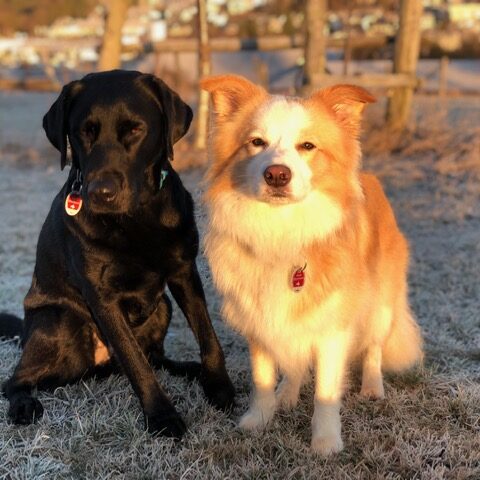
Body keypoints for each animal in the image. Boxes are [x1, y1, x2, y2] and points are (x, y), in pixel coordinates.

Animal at [0, 70, 234, 438]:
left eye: (135, 130)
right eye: (84, 131)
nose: (101, 192)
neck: (136, 218)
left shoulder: (184, 271)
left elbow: (207, 334)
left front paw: (218, 385)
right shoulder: (102, 297)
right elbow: (136, 363)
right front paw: (162, 416)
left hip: (162, 306)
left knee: (156, 358)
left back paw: (190, 369)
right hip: (59, 320)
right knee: (15, 381)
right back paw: (24, 404)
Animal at [201, 76, 422, 458]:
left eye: (307, 145)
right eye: (256, 142)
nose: (276, 174)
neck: (283, 233)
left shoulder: (333, 328)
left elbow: (325, 394)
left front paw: (326, 442)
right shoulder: (259, 319)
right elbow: (263, 378)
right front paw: (259, 420)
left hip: (380, 303)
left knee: (374, 347)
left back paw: (373, 387)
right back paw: (286, 395)